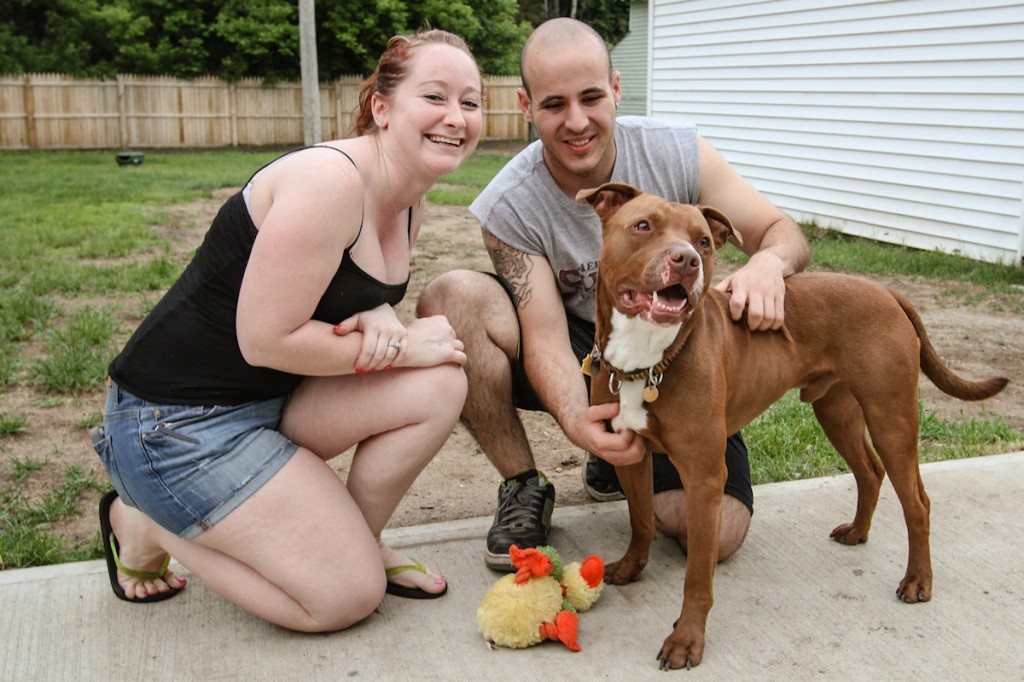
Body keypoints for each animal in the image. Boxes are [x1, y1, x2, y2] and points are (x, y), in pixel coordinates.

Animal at [577, 182, 1007, 667]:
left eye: (703, 241)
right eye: (643, 225)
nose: (686, 260)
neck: (647, 360)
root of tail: (887, 292)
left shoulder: (704, 479)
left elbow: (697, 576)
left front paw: (686, 639)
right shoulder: (629, 454)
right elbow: (641, 520)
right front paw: (631, 568)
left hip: (891, 418)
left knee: (917, 502)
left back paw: (917, 580)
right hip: (837, 412)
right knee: (869, 472)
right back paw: (857, 532)